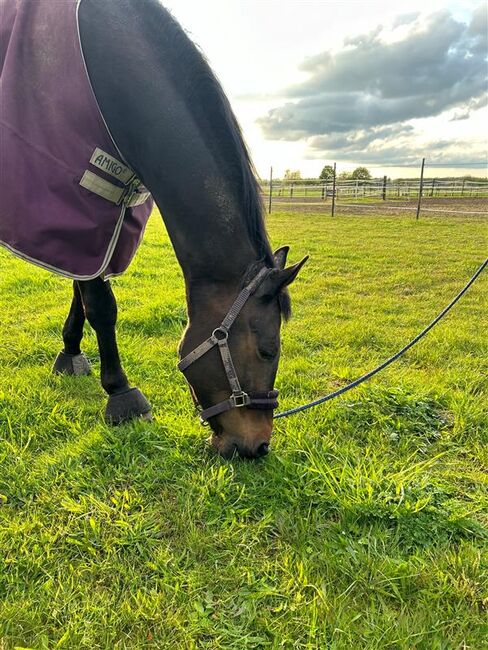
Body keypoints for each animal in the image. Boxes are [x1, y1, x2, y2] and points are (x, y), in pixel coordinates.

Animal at [0, 0, 304, 458]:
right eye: (269, 351)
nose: (257, 446)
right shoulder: (83, 207)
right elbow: (100, 305)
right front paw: (121, 394)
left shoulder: (94, 227)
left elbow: (80, 290)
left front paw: (69, 353)